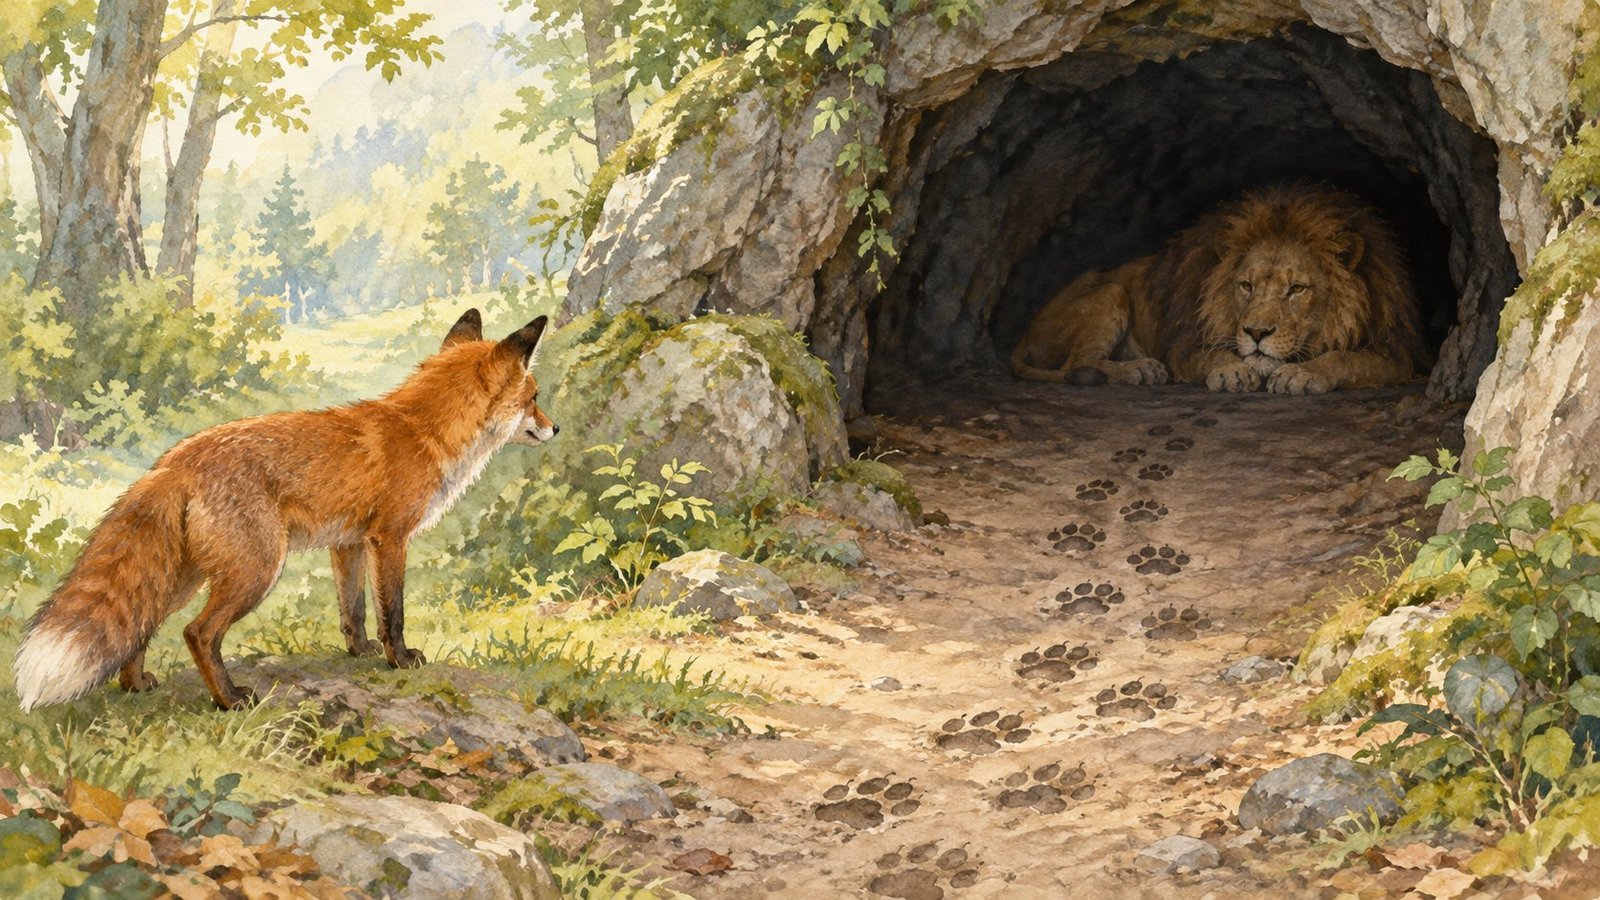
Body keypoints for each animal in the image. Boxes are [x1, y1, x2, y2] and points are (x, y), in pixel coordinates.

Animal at [14, 309, 556, 711]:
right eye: (534, 397)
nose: (556, 428)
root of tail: (176, 459)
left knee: (142, 626)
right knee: (198, 633)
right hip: (256, 570)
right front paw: (399, 660)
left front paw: (359, 653)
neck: (424, 432)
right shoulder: (390, 538)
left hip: (186, 575)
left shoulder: (348, 544)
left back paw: (135, 685)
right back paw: (229, 700)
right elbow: (394, 613)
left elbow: (354, 611)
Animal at [1009, 186, 1424, 394]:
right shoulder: (1184, 343)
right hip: (1110, 292)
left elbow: (1346, 359)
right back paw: (1141, 370)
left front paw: (1303, 374)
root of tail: (1024, 335)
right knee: (1077, 364)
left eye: (1296, 289)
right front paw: (1231, 372)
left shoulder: (1396, 353)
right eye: (1246, 285)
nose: (1256, 333)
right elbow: (1207, 356)